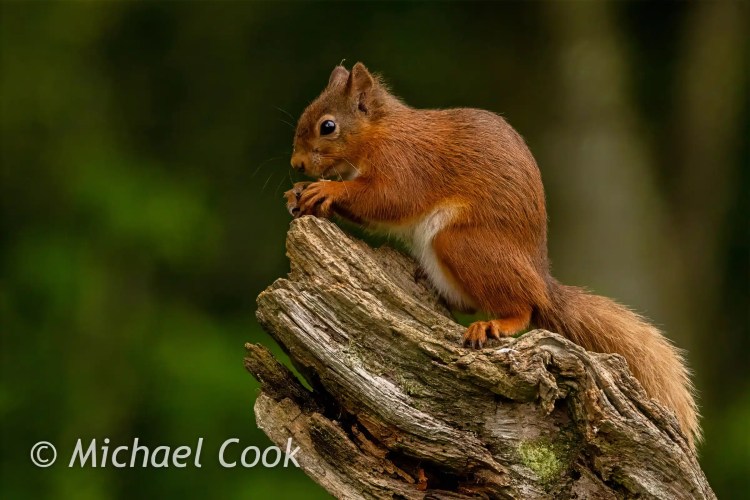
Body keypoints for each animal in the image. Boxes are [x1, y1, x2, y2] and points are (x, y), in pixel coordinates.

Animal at [284, 62, 700, 447]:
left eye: (328, 126)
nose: (296, 165)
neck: (381, 131)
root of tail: (542, 280)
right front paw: (299, 191)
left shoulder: (406, 163)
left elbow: (388, 199)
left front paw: (327, 190)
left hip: (463, 245)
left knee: (524, 308)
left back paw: (497, 323)